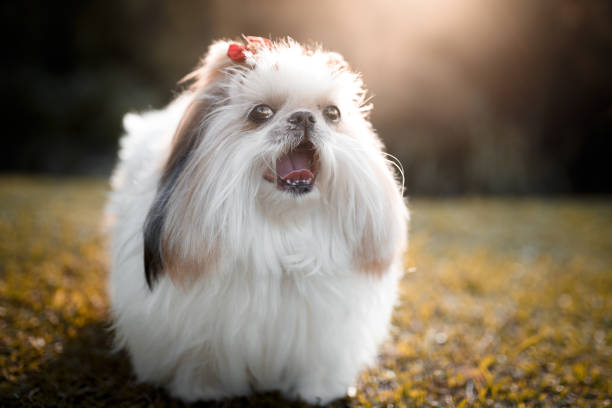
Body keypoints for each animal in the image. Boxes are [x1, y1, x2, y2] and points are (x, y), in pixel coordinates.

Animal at [107, 35, 408, 404]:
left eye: (332, 114)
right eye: (261, 113)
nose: (304, 117)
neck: (281, 228)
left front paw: (318, 393)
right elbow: (201, 361)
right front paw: (203, 391)